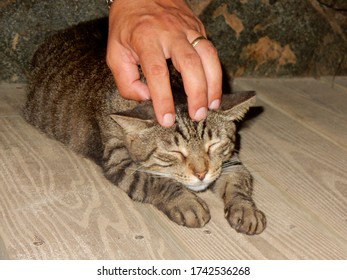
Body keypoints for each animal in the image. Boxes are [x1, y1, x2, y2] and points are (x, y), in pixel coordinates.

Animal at [23, 18, 266, 234]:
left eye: (213, 145)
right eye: (174, 152)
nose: (201, 173)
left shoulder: (230, 159)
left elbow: (238, 180)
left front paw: (246, 209)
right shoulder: (119, 161)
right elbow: (156, 181)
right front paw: (187, 202)